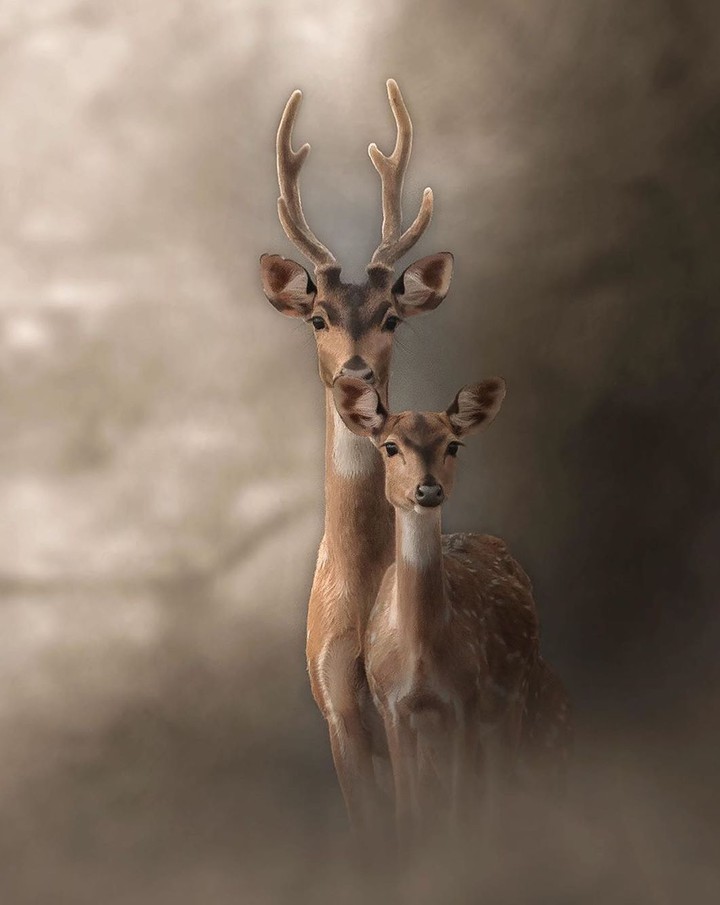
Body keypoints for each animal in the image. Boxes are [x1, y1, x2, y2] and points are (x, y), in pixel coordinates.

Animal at [331, 375, 572, 842]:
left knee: (500, 789)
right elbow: (408, 811)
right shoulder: (391, 705)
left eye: (453, 445)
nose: (428, 489)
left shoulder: (466, 699)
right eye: (390, 446)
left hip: (512, 699)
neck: (422, 654)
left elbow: (463, 809)